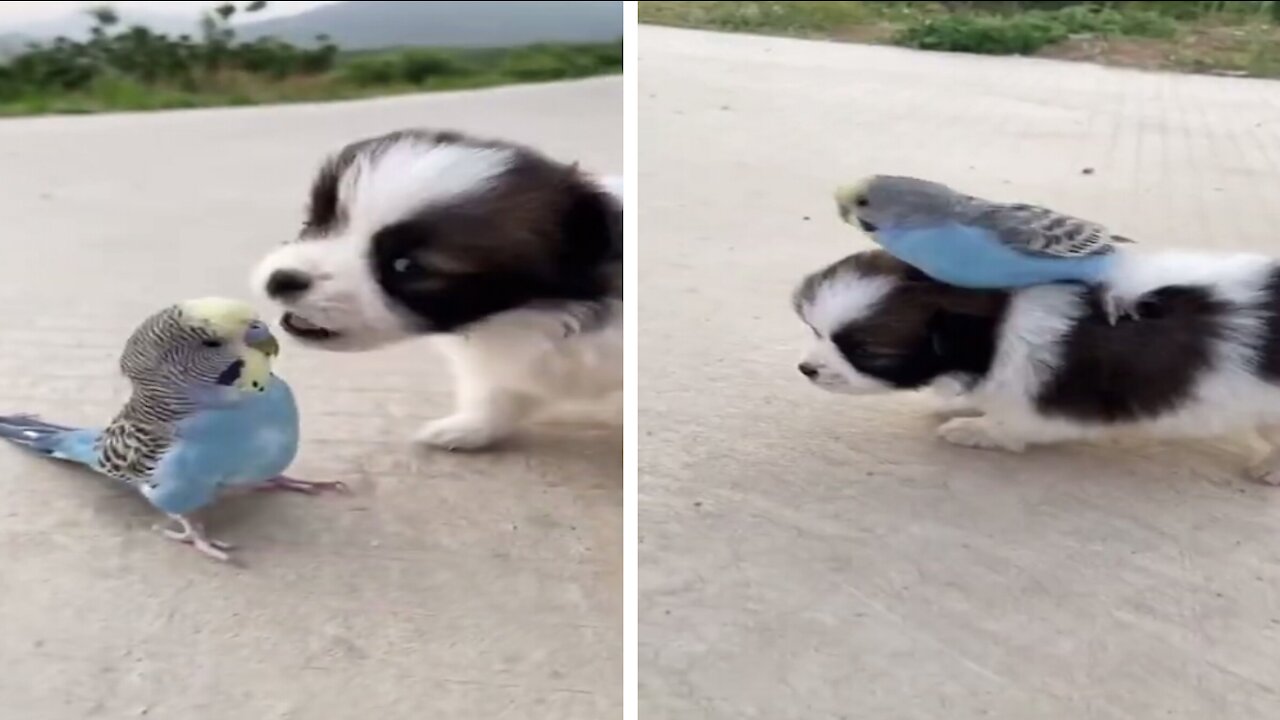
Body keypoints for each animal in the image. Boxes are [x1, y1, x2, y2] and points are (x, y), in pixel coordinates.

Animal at [250, 126, 624, 445]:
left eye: (406, 267)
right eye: (313, 223)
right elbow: (494, 392)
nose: (281, 279)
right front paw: (469, 427)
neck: (516, 318)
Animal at [793, 245, 1280, 481]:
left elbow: (1014, 422)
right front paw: (963, 404)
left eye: (865, 352)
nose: (807, 370)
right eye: (815, 331)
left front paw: (976, 429)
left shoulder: (1040, 399)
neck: (997, 322)